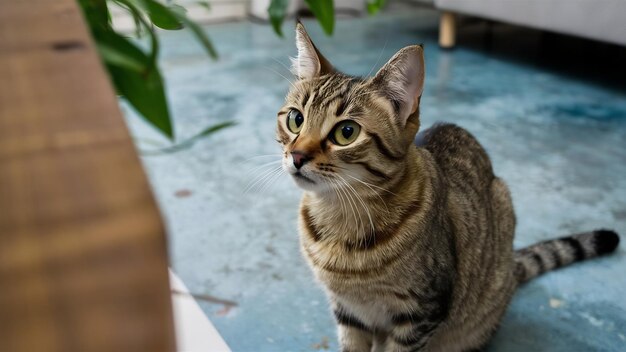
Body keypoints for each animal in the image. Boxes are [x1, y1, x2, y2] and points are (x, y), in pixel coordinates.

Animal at [276, 23, 620, 350]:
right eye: (295, 119)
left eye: (346, 132)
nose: (297, 155)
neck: (339, 217)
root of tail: (511, 269)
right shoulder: (347, 310)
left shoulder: (421, 313)